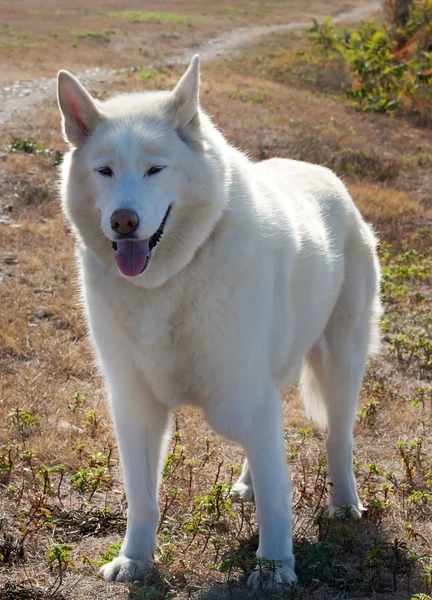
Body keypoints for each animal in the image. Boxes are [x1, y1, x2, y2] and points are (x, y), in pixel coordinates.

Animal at [57, 54, 382, 588]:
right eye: (105, 171)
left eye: (155, 169)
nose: (123, 222)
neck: (169, 282)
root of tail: (326, 176)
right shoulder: (136, 407)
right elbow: (142, 499)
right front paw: (135, 559)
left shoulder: (246, 395)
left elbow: (276, 499)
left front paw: (274, 569)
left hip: (338, 368)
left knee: (338, 437)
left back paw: (344, 504)